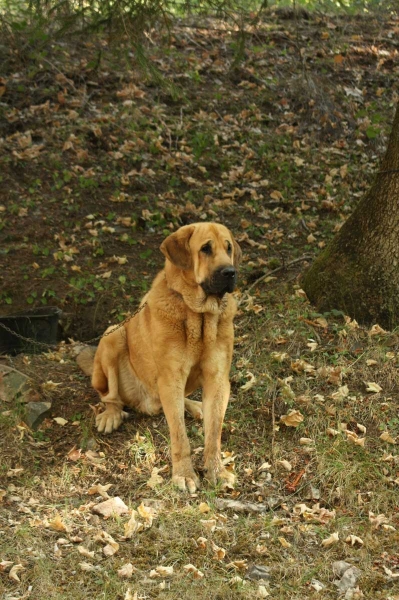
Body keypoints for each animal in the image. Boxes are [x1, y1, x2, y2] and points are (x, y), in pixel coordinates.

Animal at [77, 221, 242, 492]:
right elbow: (180, 436)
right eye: (205, 249)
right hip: (114, 334)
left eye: (228, 248)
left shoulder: (218, 380)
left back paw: (194, 406)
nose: (230, 272)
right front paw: (184, 474)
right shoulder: (171, 377)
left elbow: (213, 434)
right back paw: (112, 414)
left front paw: (216, 470)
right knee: (111, 397)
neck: (197, 314)